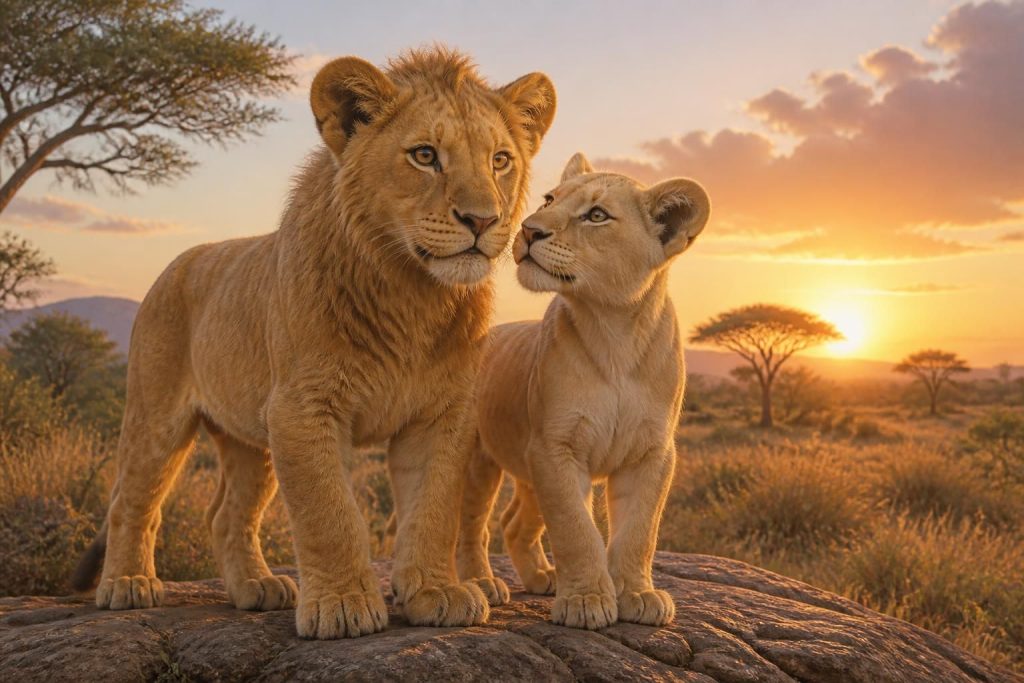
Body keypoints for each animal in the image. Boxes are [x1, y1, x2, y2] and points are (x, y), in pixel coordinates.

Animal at [71, 48, 556, 640]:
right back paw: (127, 585)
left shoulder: (440, 414)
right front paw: (344, 605)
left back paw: (256, 588)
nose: (484, 220)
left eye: (501, 160)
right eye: (425, 156)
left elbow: (434, 508)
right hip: (157, 415)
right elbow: (330, 512)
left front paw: (436, 593)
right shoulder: (303, 408)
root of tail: (179, 260)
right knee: (131, 498)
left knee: (226, 515)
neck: (413, 292)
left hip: (249, 438)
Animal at [456, 153, 710, 629]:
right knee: (471, 524)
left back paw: (542, 578)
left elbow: (639, 531)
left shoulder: (652, 453)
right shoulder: (555, 447)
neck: (615, 330)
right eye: (548, 200)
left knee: (515, 524)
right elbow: (576, 529)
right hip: (478, 460)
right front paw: (587, 600)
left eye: (596, 216)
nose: (528, 230)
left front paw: (637, 594)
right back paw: (481, 583)